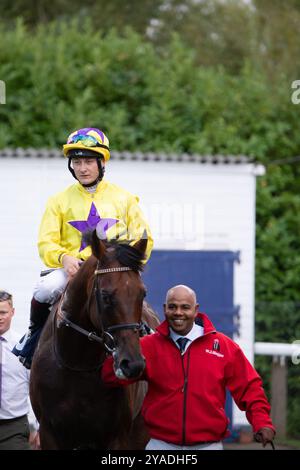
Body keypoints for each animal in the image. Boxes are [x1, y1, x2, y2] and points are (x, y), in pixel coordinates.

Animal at [29, 231, 159, 452]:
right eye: (105, 296)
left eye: (143, 293)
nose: (132, 364)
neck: (78, 363)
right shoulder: (49, 433)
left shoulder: (117, 436)